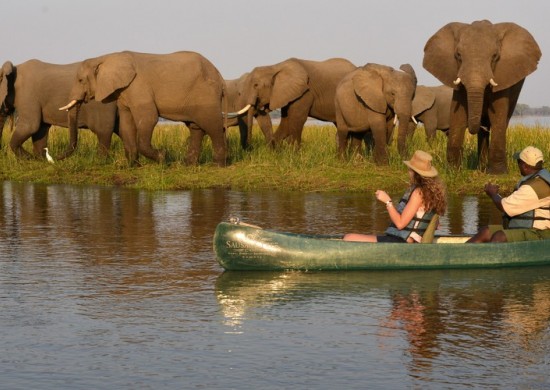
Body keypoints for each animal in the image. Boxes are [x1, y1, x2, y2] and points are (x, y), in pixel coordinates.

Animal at [63, 50, 229, 166]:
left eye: (80, 80)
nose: (58, 158)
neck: (106, 57)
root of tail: (220, 77)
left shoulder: (138, 86)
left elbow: (148, 119)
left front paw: (162, 157)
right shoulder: (124, 92)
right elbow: (126, 125)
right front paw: (132, 165)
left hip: (206, 93)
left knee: (212, 125)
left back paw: (218, 165)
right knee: (195, 128)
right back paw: (189, 165)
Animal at [424, 19, 540, 174]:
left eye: (495, 56)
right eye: (458, 55)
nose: (480, 124)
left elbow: (498, 116)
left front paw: (498, 173)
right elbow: (457, 115)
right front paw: (453, 171)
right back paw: (481, 168)